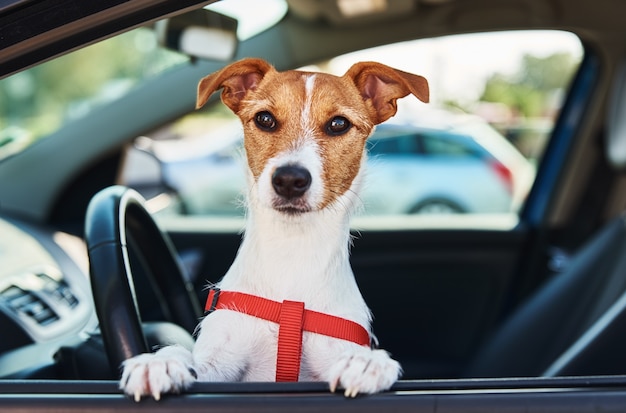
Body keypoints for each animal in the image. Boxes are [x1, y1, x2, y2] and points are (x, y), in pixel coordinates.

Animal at [119, 57, 426, 400]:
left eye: (338, 124)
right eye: (265, 119)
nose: (290, 178)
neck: (290, 254)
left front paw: (367, 362)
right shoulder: (221, 365)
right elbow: (190, 358)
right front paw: (161, 361)